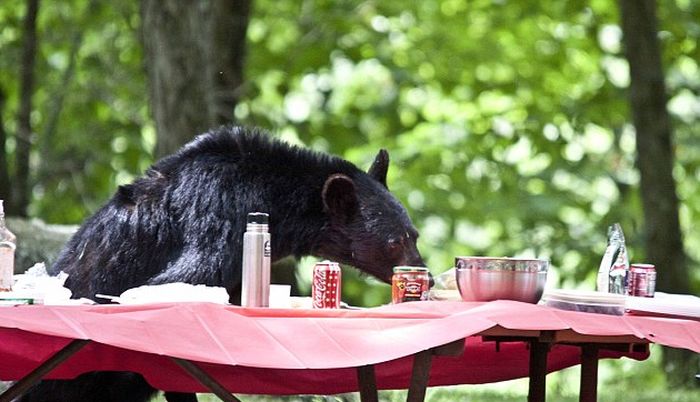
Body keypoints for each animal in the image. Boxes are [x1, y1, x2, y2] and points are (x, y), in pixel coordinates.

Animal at [21, 126, 424, 402]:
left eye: (414, 234)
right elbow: (181, 278)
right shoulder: (219, 207)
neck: (274, 195)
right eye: (395, 241)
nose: (428, 276)